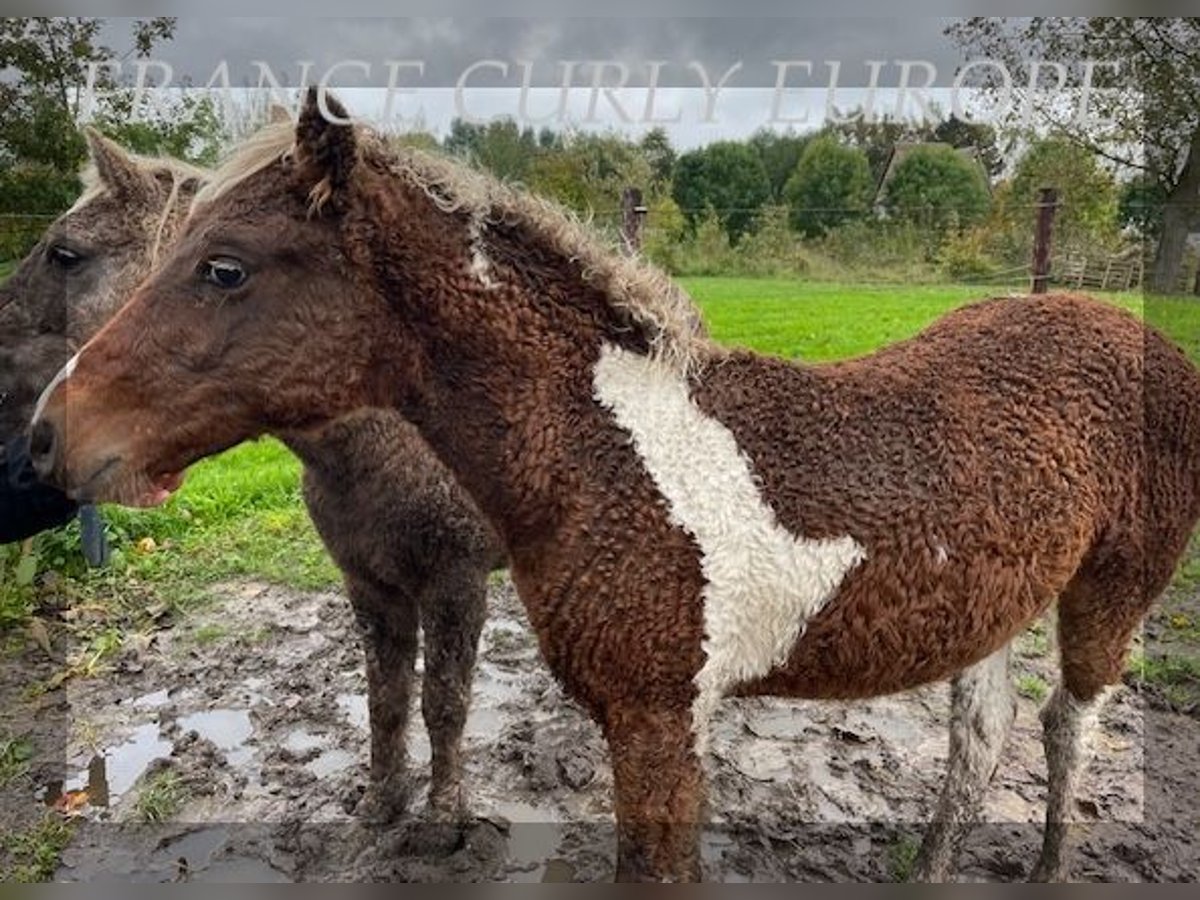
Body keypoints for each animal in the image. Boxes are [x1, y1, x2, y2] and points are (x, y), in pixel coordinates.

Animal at [28, 90, 1200, 883]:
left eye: (223, 268)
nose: (50, 436)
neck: (604, 449)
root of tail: (1134, 330)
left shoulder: (657, 723)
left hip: (1112, 594)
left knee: (1067, 726)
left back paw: (1049, 868)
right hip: (989, 607)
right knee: (980, 738)